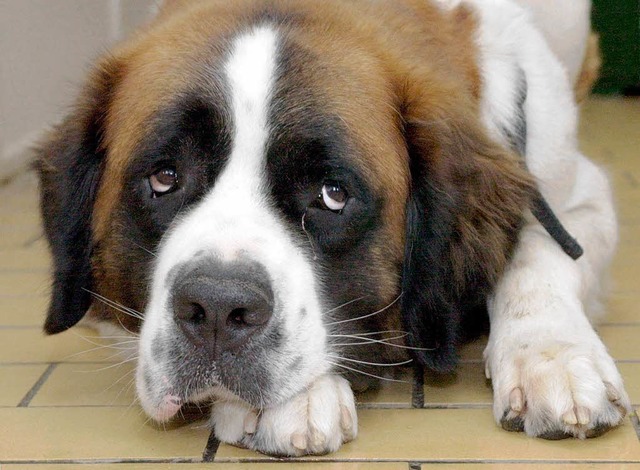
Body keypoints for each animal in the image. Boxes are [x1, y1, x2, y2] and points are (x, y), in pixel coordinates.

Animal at [36, 0, 632, 458]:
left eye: (332, 194)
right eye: (164, 178)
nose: (217, 308)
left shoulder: (577, 196)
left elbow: (538, 250)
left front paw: (553, 356)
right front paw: (298, 399)